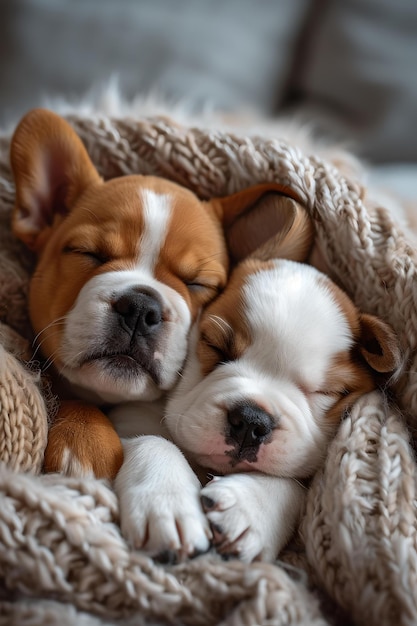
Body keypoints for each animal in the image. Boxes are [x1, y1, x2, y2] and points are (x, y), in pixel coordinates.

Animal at [114, 224, 400, 560]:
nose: (251, 421)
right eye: (215, 347)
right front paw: (166, 502)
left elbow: (293, 484)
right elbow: (153, 440)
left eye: (325, 391)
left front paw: (250, 508)